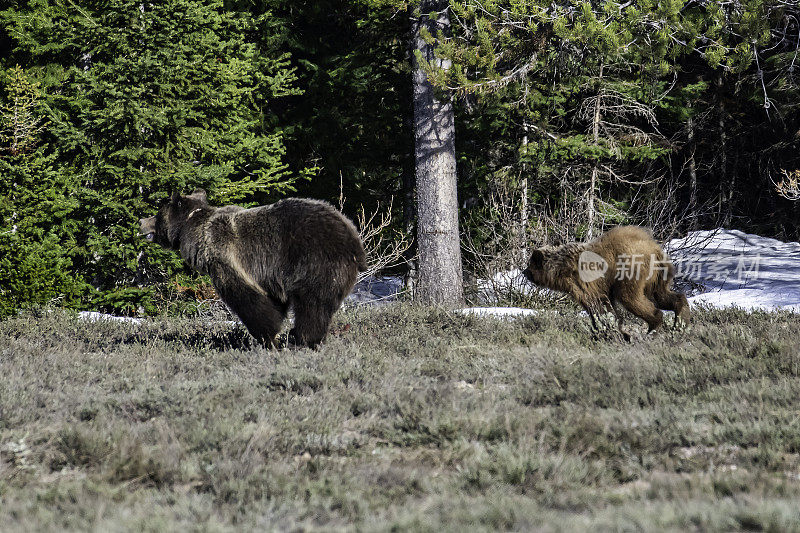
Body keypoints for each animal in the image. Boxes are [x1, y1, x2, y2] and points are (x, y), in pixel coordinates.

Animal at [139, 189, 368, 348]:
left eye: (157, 214)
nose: (141, 221)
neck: (195, 231)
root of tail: (354, 238)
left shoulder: (229, 261)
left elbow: (250, 301)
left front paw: (268, 338)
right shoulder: (268, 276)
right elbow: (273, 301)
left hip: (314, 261)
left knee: (313, 305)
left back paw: (302, 339)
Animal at [524, 224, 688, 336]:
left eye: (530, 264)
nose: (524, 272)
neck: (561, 269)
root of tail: (655, 248)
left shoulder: (583, 283)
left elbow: (597, 305)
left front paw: (609, 330)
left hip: (630, 272)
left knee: (631, 298)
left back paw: (654, 326)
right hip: (656, 277)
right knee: (661, 295)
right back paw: (680, 320)